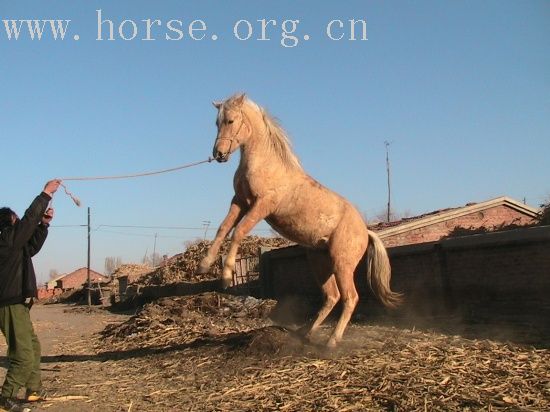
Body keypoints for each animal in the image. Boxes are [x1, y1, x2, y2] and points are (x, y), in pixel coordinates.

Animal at [197, 94, 402, 348]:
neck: (265, 163)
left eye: (231, 120)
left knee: (350, 298)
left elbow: (238, 232)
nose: (219, 154)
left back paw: (332, 341)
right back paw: (306, 333)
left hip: (342, 264)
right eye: (217, 122)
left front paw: (225, 277)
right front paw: (204, 265)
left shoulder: (262, 205)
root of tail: (365, 232)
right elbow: (223, 228)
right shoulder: (240, 202)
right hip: (319, 262)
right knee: (332, 296)